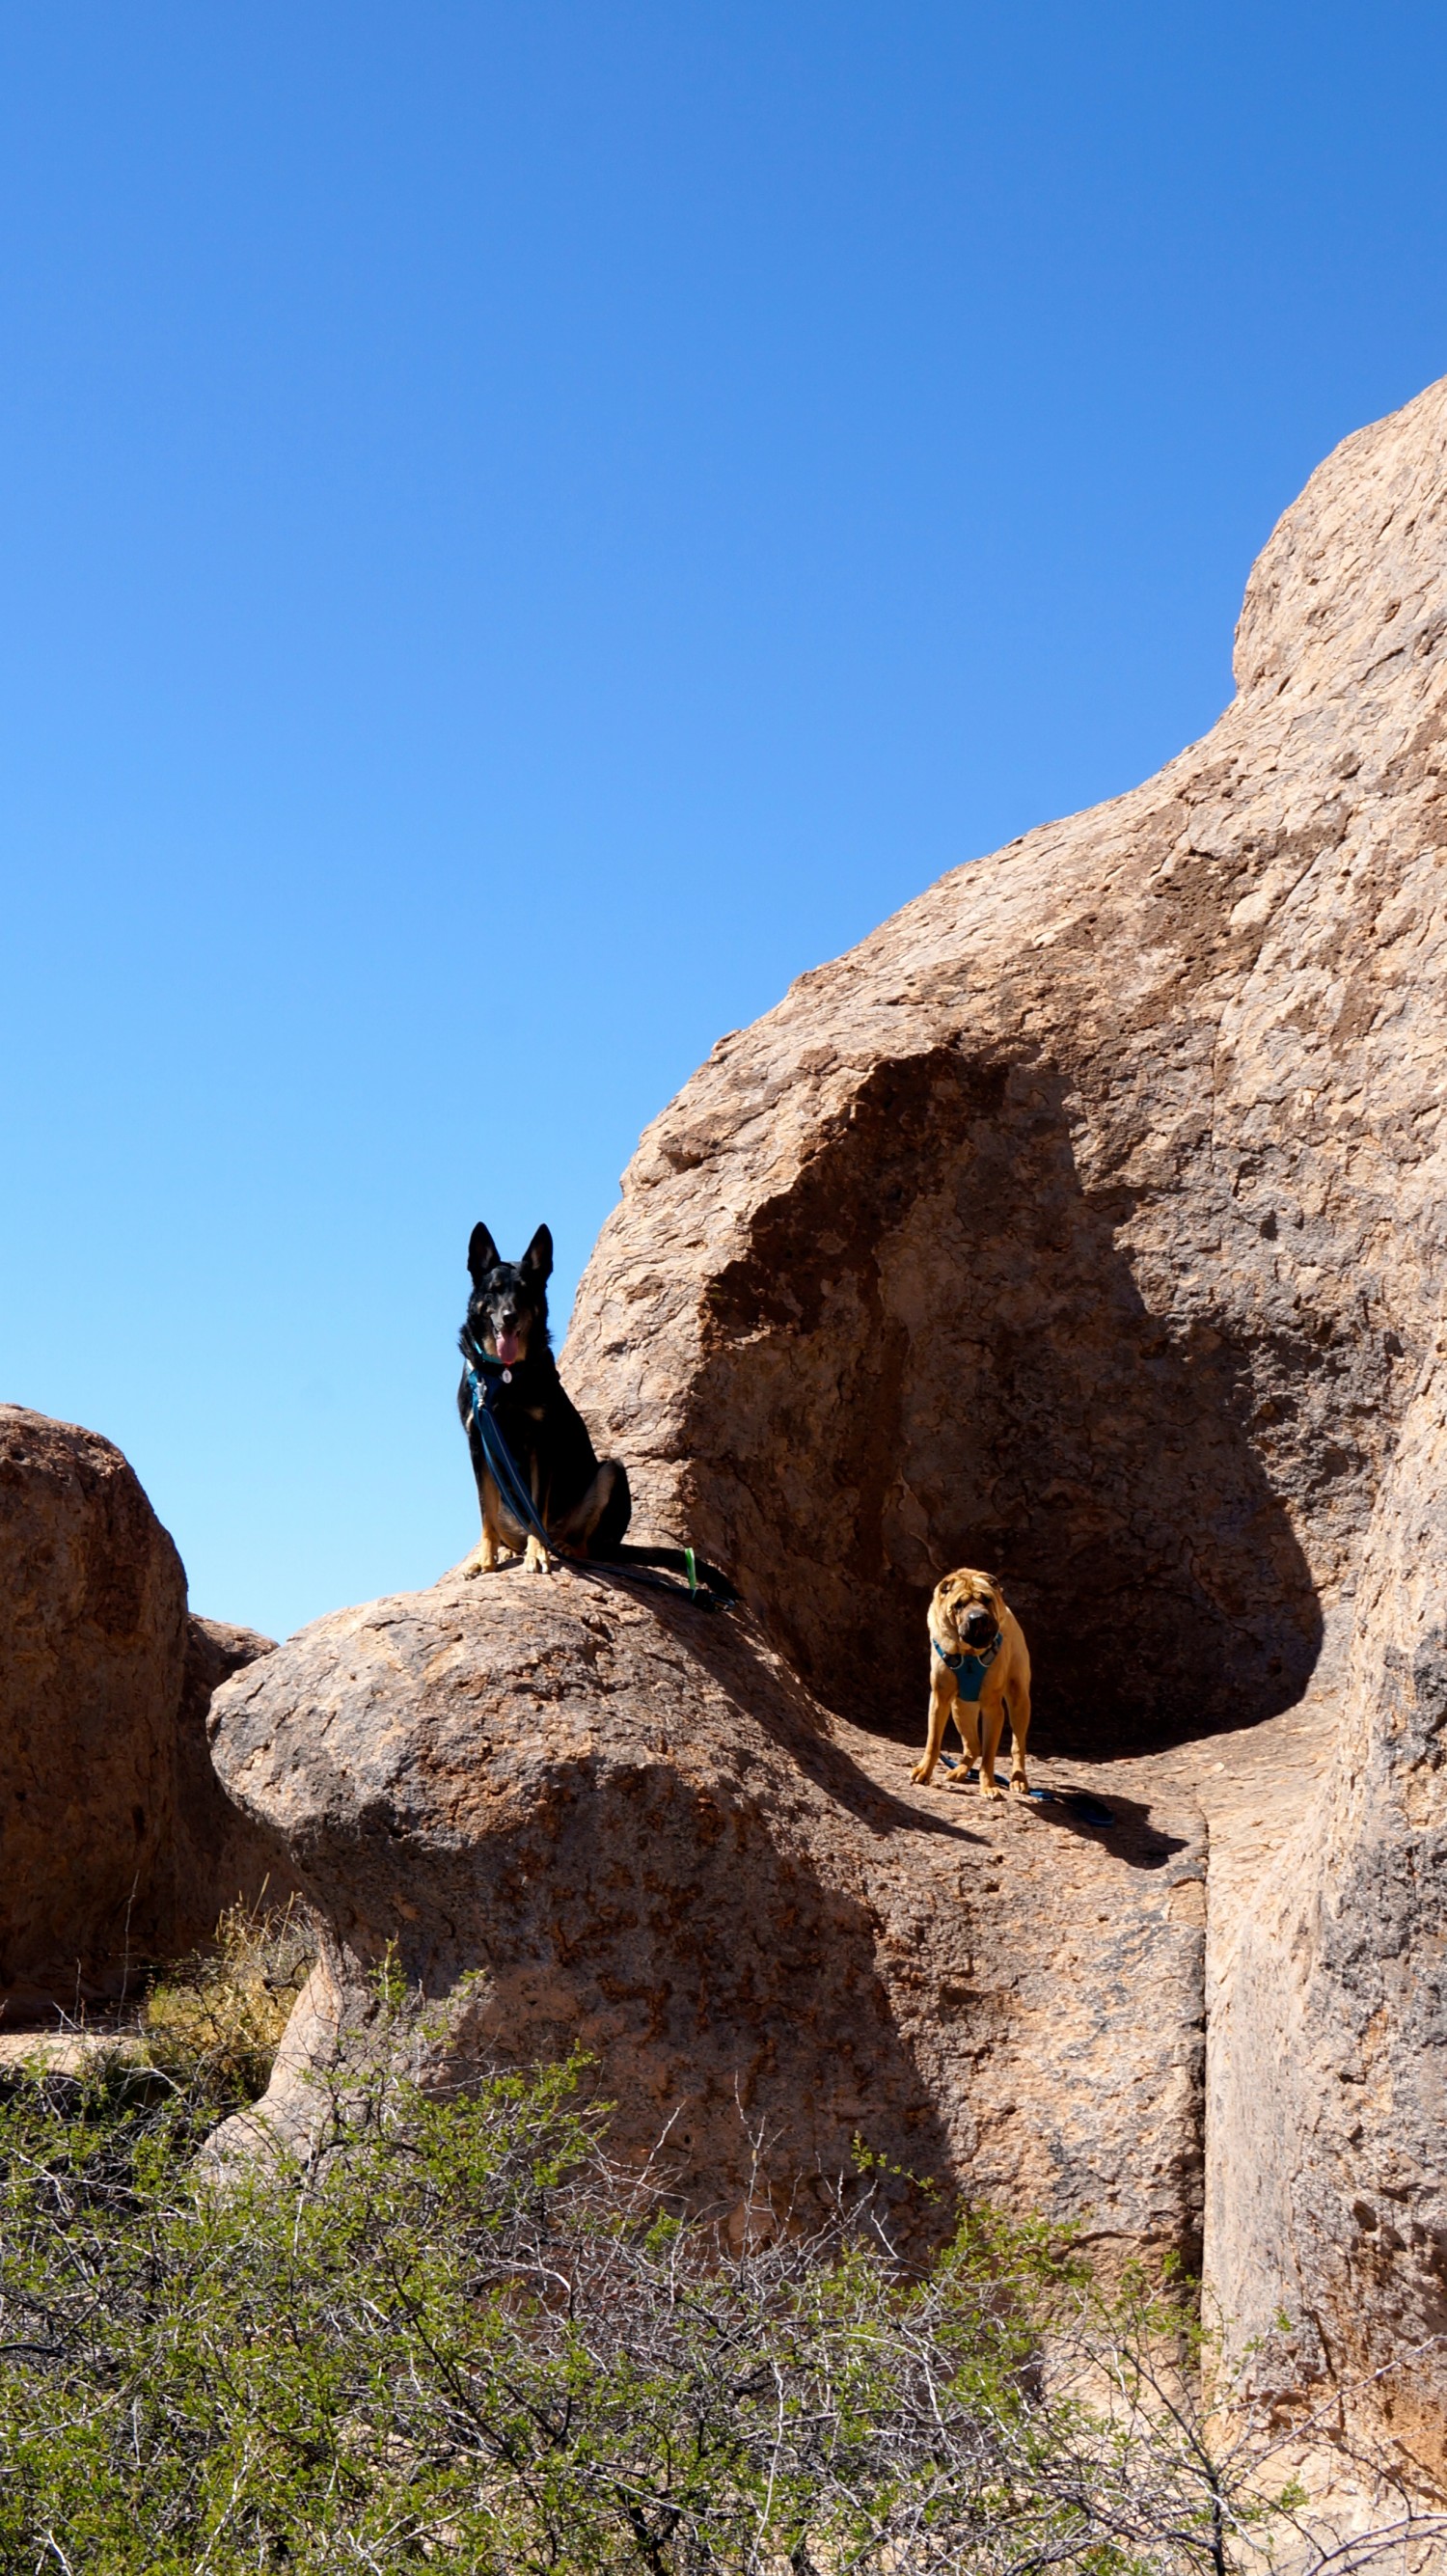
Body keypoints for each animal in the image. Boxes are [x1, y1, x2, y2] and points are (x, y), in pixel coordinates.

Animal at [906, 1555, 1029, 1803]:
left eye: (986, 1600)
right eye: (959, 1605)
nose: (978, 1618)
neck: (969, 1654)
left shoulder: (993, 1709)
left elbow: (990, 1756)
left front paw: (989, 1786)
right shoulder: (940, 1699)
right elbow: (933, 1741)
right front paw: (924, 1771)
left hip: (1019, 1699)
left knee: (1017, 1746)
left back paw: (1019, 1779)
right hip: (960, 1708)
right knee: (973, 1745)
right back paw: (960, 1770)